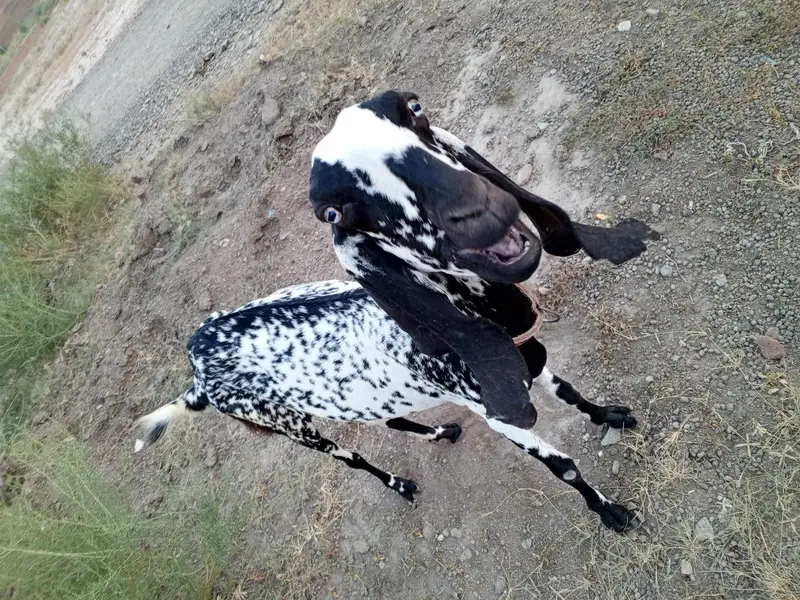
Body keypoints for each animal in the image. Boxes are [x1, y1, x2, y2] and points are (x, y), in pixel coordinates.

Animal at [134, 91, 658, 532]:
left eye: (414, 108)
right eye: (333, 211)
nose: (475, 205)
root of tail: (197, 366)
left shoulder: (529, 362)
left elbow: (569, 392)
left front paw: (610, 415)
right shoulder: (500, 415)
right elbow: (564, 467)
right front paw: (612, 513)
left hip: (355, 398)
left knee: (388, 419)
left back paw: (440, 431)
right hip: (290, 426)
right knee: (351, 456)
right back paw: (401, 483)